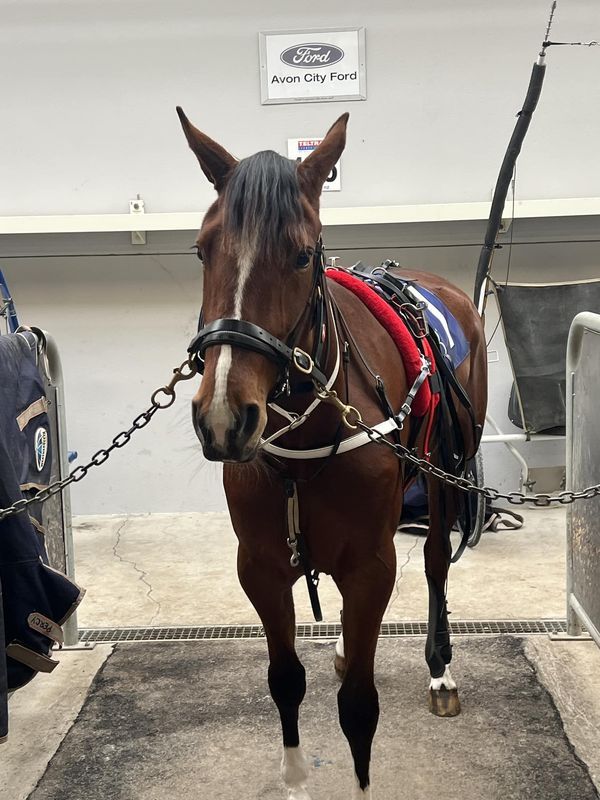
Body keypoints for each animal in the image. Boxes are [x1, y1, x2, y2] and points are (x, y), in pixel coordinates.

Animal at [177, 111, 488, 800]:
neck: (301, 446)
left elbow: (359, 708)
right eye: (202, 250)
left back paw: (439, 669)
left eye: (301, 254)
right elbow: (286, 680)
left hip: (446, 471)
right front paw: (294, 775)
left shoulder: (371, 567)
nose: (223, 417)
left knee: (435, 561)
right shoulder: (260, 567)